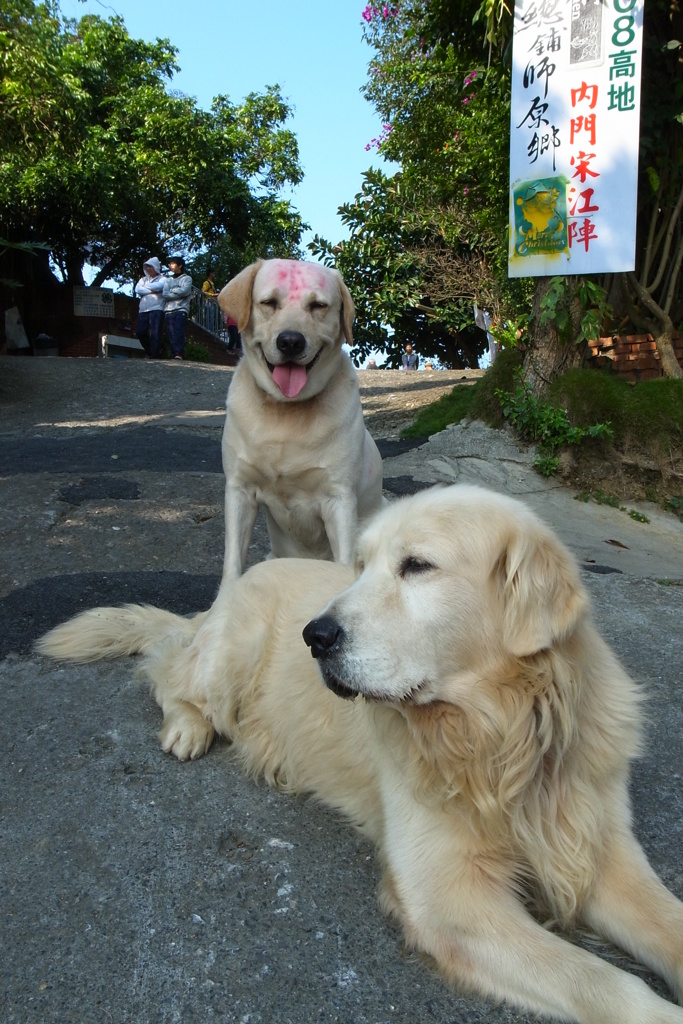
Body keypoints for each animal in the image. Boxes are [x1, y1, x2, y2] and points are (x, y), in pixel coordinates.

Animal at [37, 489, 683, 1024]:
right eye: (361, 566)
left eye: (417, 565)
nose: (314, 635)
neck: (498, 737)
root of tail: (234, 583)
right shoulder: (449, 897)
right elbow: (599, 980)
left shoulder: (597, 844)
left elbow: (667, 921)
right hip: (231, 654)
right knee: (169, 674)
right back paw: (187, 727)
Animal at [218, 260, 382, 581]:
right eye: (269, 303)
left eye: (318, 306)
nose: (291, 341)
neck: (287, 412)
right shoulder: (239, 490)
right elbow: (231, 562)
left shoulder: (339, 499)